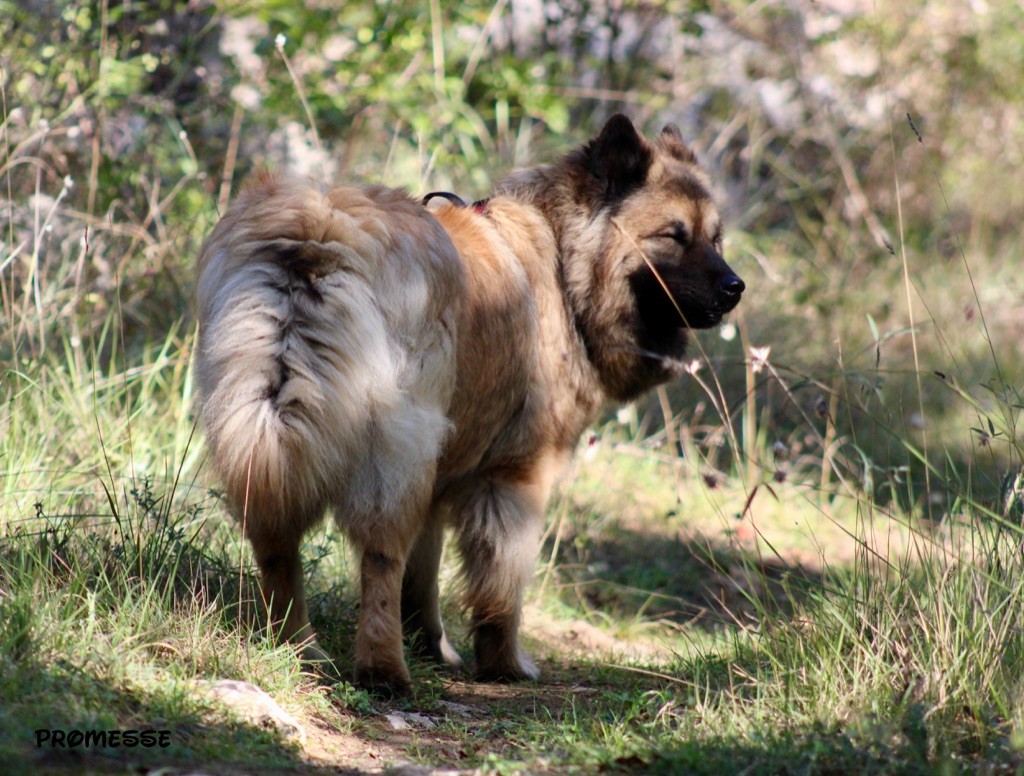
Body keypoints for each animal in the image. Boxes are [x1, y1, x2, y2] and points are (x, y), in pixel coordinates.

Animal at [193, 115, 745, 692]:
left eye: (715, 237)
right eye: (674, 236)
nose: (737, 287)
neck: (562, 260)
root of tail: (319, 233)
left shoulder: (440, 478)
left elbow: (424, 577)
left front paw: (435, 647)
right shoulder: (515, 477)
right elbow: (499, 587)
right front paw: (504, 664)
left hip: (271, 434)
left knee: (279, 547)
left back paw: (298, 648)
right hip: (391, 456)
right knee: (380, 559)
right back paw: (383, 669)